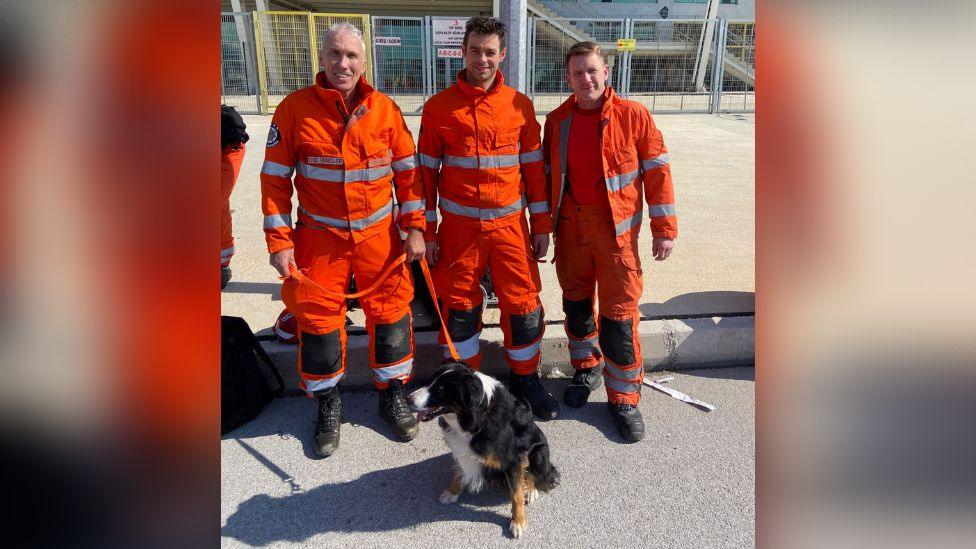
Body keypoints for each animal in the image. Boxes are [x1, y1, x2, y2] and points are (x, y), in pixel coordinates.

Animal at [404, 362, 556, 536]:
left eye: (441, 389)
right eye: (430, 381)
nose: (408, 399)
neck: (474, 416)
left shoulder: (514, 459)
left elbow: (516, 494)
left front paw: (518, 522)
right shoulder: (461, 450)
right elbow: (458, 472)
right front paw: (452, 492)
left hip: (539, 452)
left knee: (537, 474)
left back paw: (531, 490)